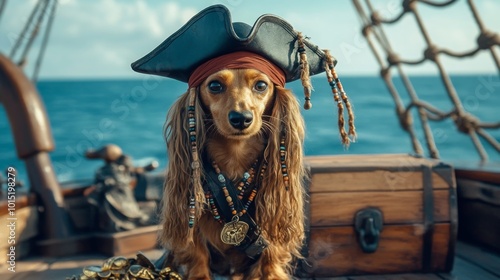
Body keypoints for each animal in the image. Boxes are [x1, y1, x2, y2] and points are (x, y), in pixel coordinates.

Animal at [162, 68, 306, 280]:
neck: (235, 156)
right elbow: (198, 255)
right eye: (215, 85)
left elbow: (269, 260)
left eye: (261, 85)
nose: (241, 118)